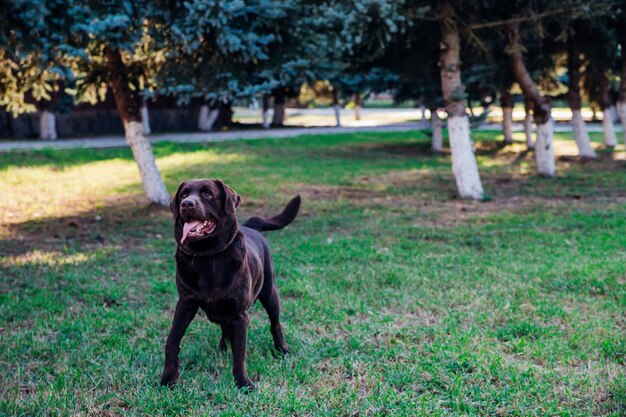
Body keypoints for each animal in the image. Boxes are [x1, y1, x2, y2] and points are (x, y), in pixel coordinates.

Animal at [160, 179, 298, 390]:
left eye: (207, 194)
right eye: (183, 195)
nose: (186, 204)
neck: (207, 257)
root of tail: (250, 226)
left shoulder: (240, 315)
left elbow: (240, 353)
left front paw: (243, 383)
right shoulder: (185, 304)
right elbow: (172, 340)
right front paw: (168, 377)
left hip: (270, 294)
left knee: (275, 323)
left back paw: (282, 349)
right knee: (225, 328)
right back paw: (222, 348)